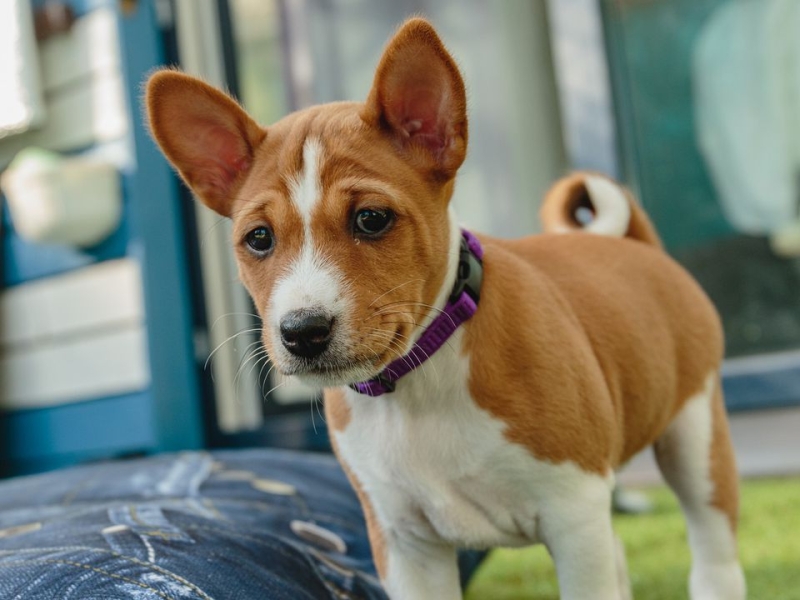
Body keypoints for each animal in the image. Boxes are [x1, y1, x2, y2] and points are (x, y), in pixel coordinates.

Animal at [147, 17, 748, 600]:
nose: (303, 330)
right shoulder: (405, 543)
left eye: (371, 219)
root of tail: (637, 246)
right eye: (259, 239)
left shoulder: (573, 513)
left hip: (696, 440)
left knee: (714, 555)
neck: (417, 385)